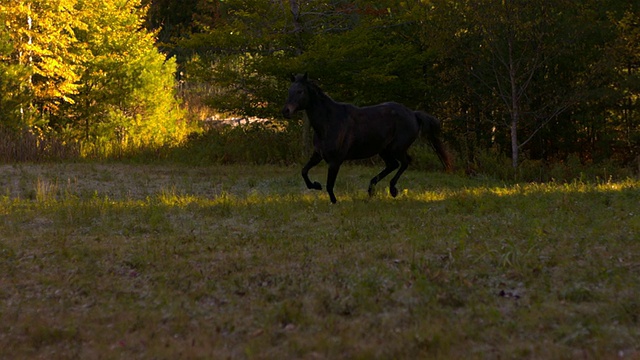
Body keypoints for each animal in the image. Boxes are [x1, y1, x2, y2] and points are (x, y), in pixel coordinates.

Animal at [280, 74, 450, 202]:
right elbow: (304, 171)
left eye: (300, 91)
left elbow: (329, 185)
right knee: (393, 164)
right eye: (289, 91)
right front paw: (315, 185)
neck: (329, 121)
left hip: (396, 148)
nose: (286, 111)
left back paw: (392, 189)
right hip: (384, 150)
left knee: (405, 162)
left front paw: (334, 201)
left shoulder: (335, 160)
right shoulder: (318, 155)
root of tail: (413, 114)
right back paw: (371, 189)